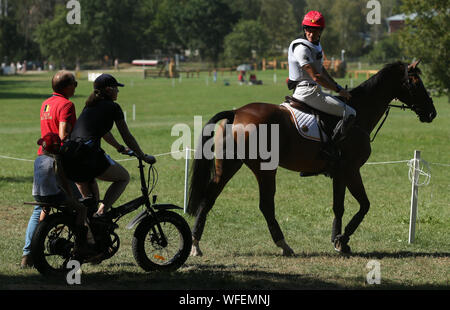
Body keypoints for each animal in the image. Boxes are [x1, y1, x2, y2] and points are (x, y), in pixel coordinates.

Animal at [186, 59, 436, 256]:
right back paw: (283, 244)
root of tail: (236, 112)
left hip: (229, 166)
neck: (359, 115)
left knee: (209, 199)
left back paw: (196, 244)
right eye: (415, 83)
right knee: (264, 205)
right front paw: (342, 240)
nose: (432, 113)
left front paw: (337, 240)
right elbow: (364, 205)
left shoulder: (340, 173)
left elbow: (338, 206)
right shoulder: (351, 170)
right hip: (264, 169)